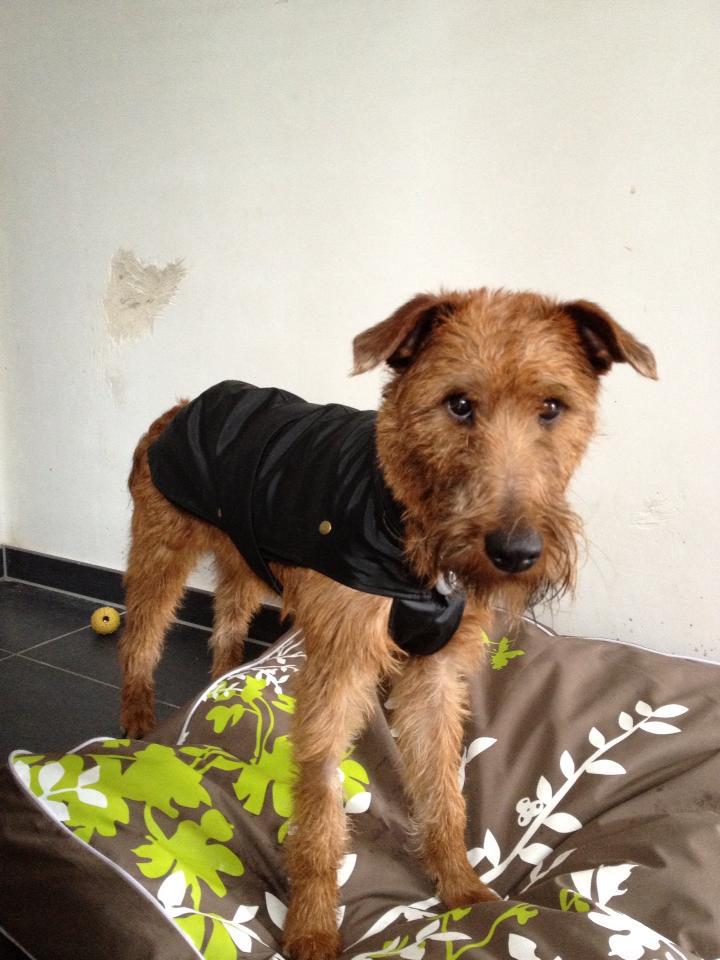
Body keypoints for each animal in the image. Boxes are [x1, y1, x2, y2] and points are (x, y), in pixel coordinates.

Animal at [119, 288, 656, 960]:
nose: (516, 552)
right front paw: (313, 929)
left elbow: (445, 794)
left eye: (552, 408)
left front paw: (463, 892)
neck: (407, 526)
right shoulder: (337, 674)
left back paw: (218, 690)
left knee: (225, 631)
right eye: (458, 404)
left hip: (242, 563)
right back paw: (138, 720)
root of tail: (179, 408)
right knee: (140, 639)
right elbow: (321, 815)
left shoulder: (434, 677)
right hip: (160, 556)